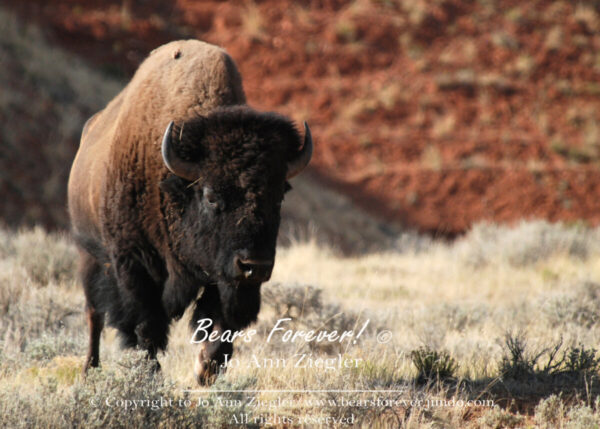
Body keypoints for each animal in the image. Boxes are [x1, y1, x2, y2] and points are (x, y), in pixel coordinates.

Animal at [69, 39, 314, 382]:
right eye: (211, 196)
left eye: (279, 195)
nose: (254, 265)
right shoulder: (133, 266)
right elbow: (146, 329)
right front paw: (151, 376)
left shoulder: (223, 278)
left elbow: (220, 329)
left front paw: (205, 371)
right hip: (89, 255)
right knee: (95, 315)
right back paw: (89, 369)